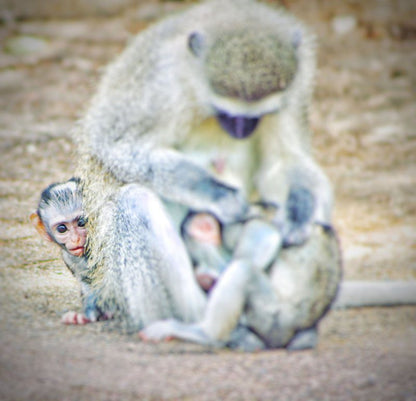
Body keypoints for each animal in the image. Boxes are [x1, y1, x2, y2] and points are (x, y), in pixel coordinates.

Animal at [76, 0, 340, 346]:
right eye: (225, 111)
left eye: (259, 114)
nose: (242, 131)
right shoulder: (158, 84)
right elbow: (115, 145)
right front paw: (218, 195)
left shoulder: (296, 87)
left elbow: (284, 161)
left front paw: (299, 212)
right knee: (134, 203)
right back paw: (188, 326)